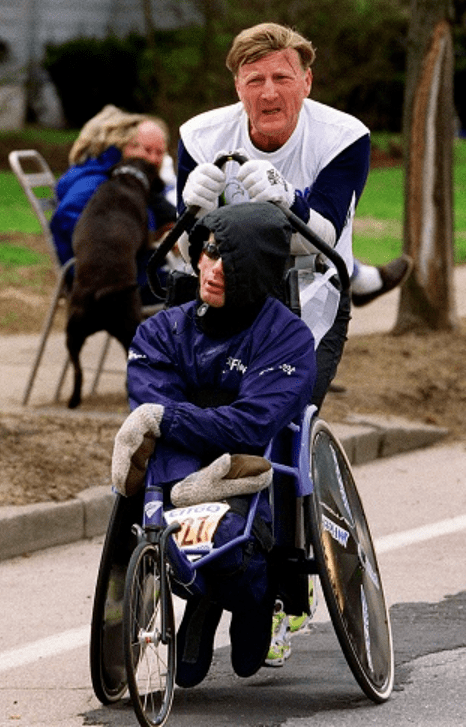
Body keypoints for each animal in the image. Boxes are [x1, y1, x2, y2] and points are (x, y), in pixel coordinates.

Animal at [66, 158, 157, 410]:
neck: (124, 179)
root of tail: (99, 293)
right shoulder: (146, 239)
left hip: (73, 335)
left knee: (77, 371)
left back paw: (74, 400)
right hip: (130, 328)